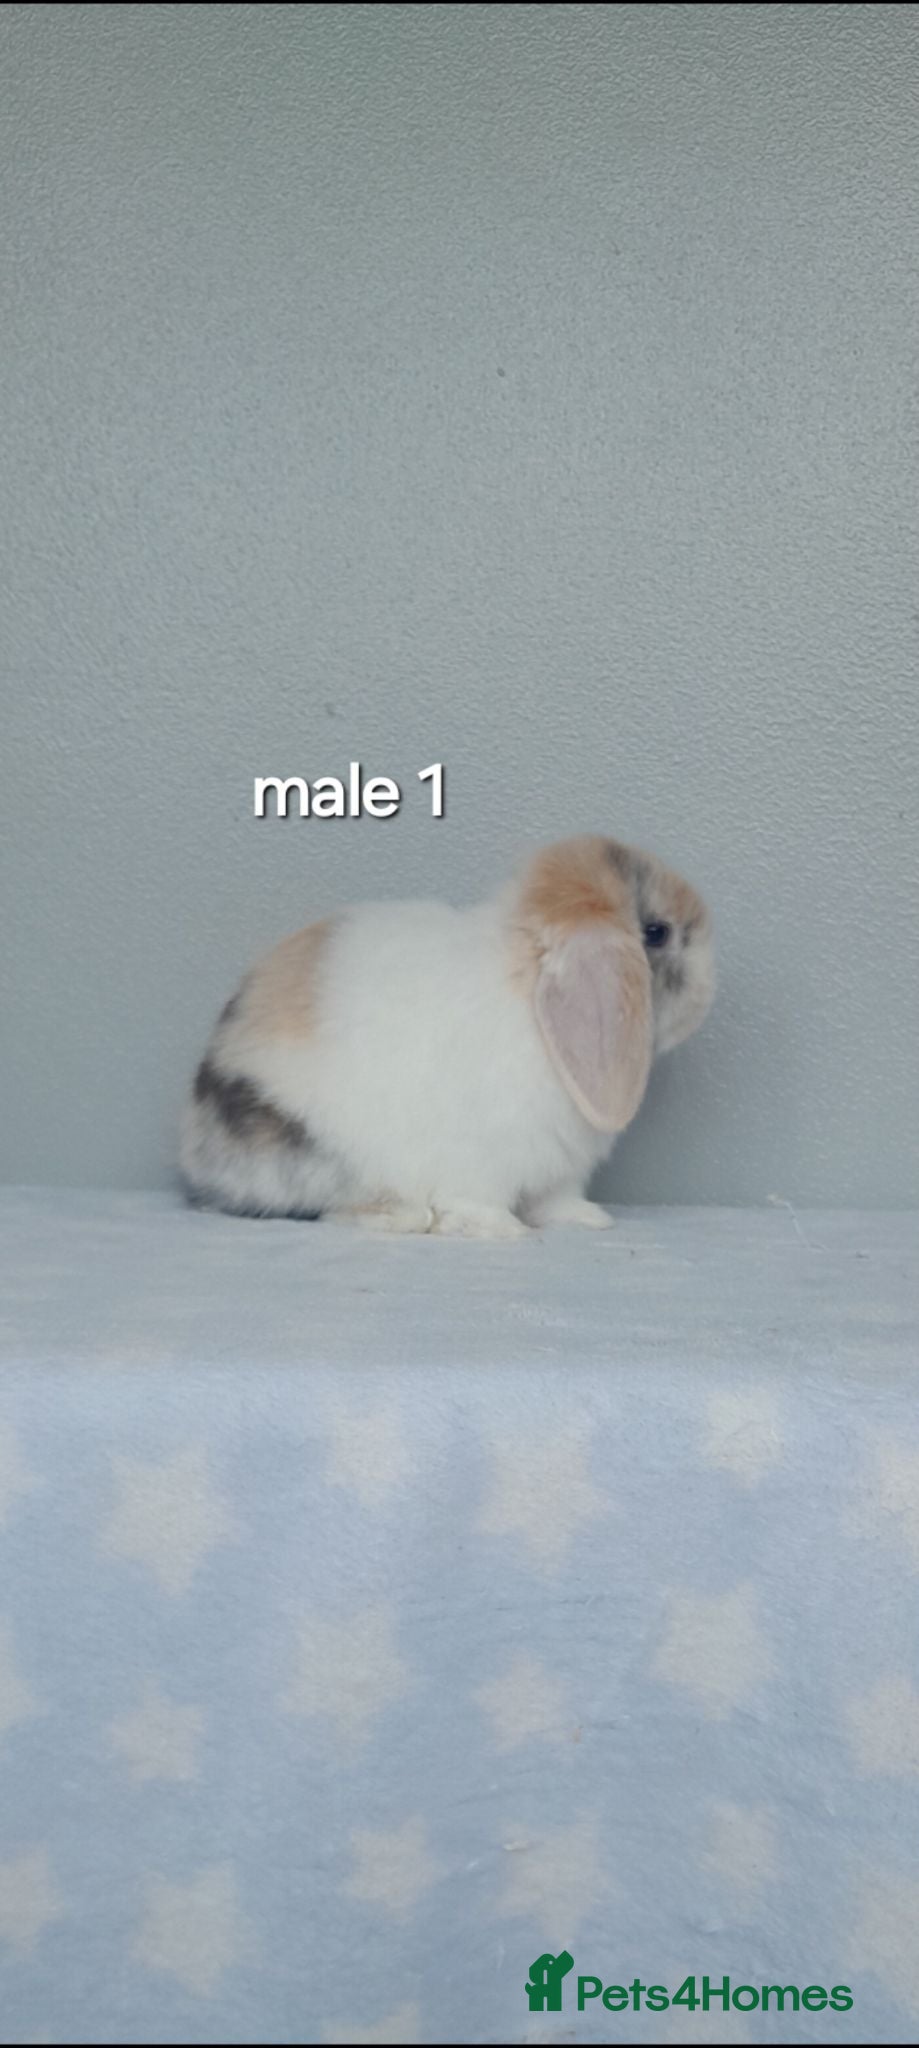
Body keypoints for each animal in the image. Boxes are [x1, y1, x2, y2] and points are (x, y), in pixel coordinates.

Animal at [179, 834, 714, 1238]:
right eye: (657, 932)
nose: (708, 991)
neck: (529, 987)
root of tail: (197, 1156)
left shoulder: (559, 1170)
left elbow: (556, 1200)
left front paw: (589, 1220)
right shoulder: (481, 1159)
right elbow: (476, 1200)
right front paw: (501, 1230)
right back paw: (403, 1217)